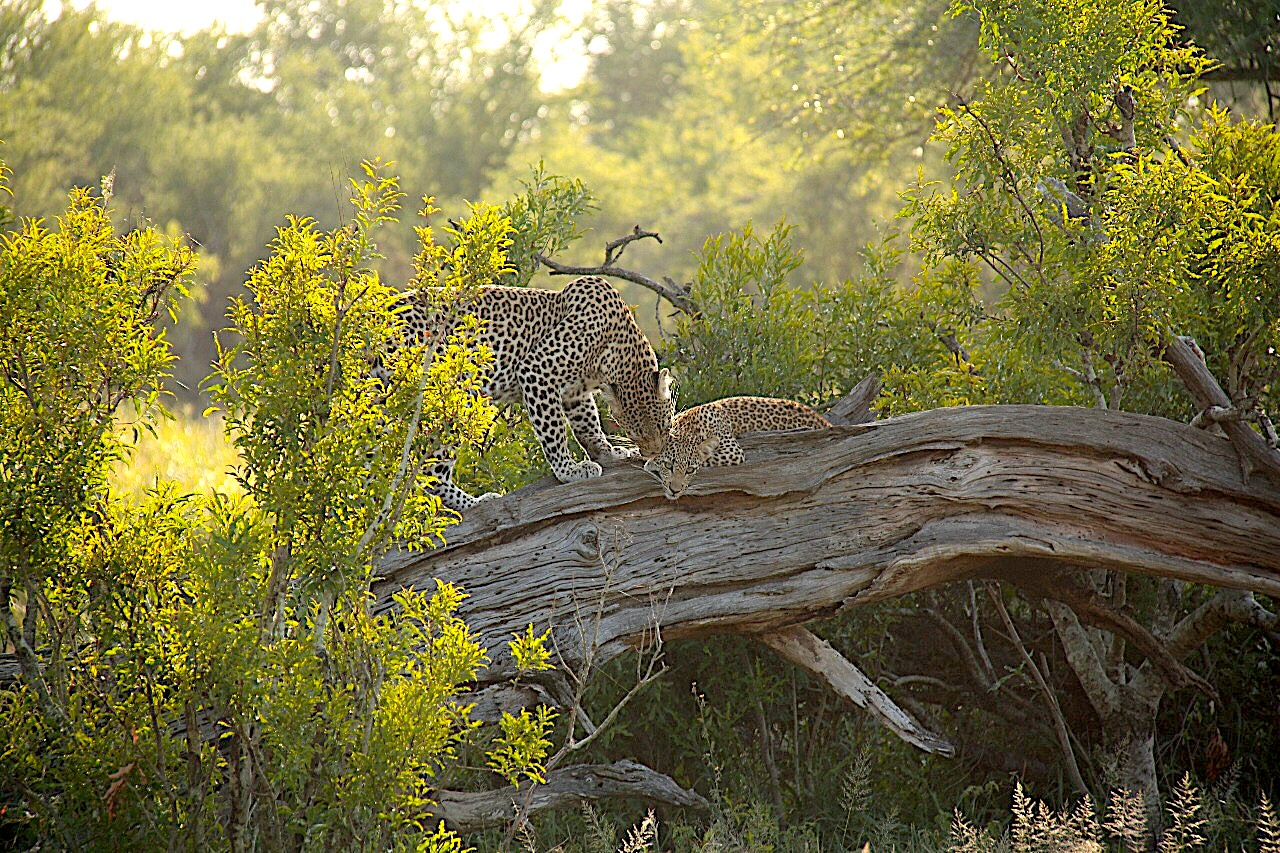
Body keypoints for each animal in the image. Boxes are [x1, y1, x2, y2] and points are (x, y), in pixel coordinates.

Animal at [381, 275, 675, 507]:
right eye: (636, 434)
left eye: (663, 428)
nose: (654, 454)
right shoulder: (537, 370)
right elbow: (553, 432)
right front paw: (569, 470)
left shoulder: (576, 393)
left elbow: (588, 425)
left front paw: (608, 453)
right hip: (452, 402)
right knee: (432, 472)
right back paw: (474, 503)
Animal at [640, 394, 829, 499]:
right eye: (668, 465)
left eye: (690, 470)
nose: (675, 491)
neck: (689, 426)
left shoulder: (733, 451)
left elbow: (707, 458)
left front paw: (650, 462)